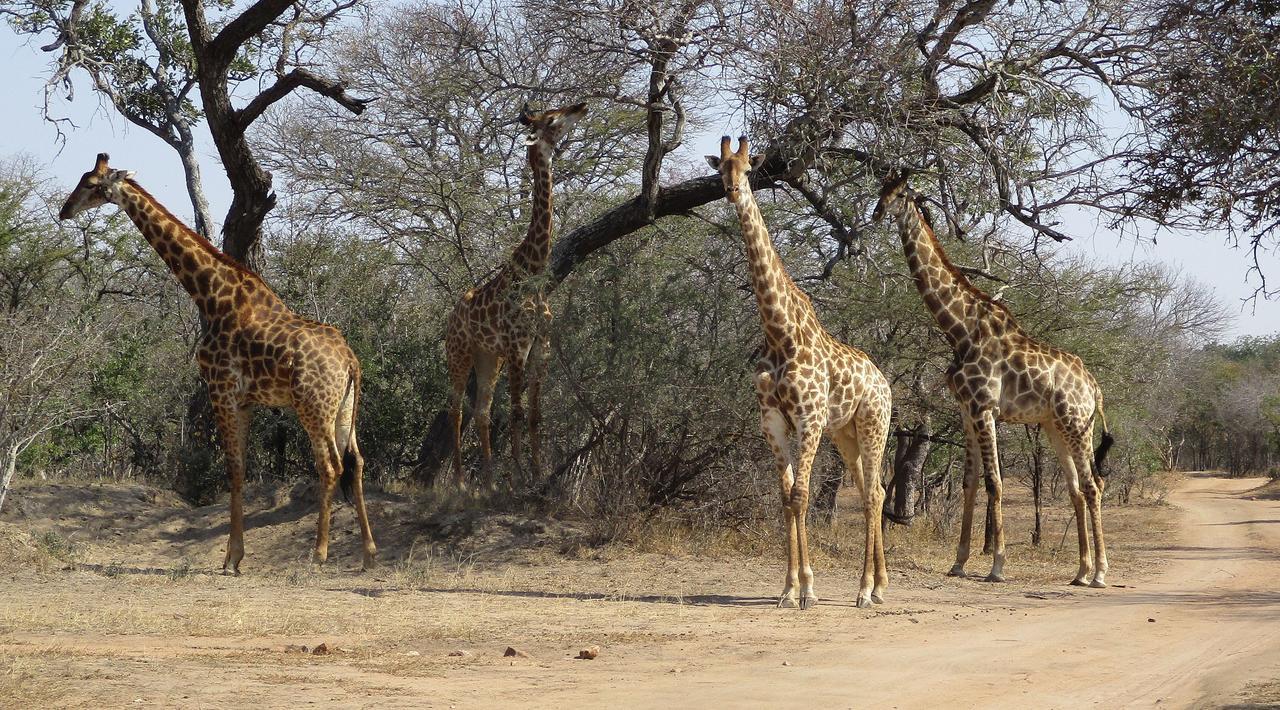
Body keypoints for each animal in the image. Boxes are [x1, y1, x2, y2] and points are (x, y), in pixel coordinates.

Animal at [60, 152, 373, 575]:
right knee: (356, 462)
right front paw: (234, 556)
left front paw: (231, 558)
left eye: (91, 184)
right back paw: (369, 553)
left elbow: (233, 469)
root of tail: (351, 360)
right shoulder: (245, 401)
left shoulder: (221, 390)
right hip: (343, 408)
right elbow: (239, 469)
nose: (65, 210)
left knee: (330, 466)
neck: (210, 296)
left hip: (313, 406)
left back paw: (319, 553)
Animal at [442, 99, 586, 488]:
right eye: (552, 119)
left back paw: (489, 480)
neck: (534, 270)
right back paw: (460, 481)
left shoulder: (540, 346)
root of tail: (450, 318)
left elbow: (534, 415)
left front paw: (537, 475)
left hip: (487, 357)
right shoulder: (517, 347)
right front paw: (520, 477)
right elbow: (518, 413)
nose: (582, 106)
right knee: (456, 410)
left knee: (482, 411)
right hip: (460, 353)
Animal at [706, 138, 896, 611]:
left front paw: (807, 588)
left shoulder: (809, 418)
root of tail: (884, 383)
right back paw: (878, 586)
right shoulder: (772, 420)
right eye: (721, 170)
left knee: (873, 494)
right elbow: (785, 496)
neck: (779, 332)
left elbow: (800, 495)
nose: (733, 191)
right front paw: (788, 588)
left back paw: (865, 590)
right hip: (845, 433)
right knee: (873, 491)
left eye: (748, 170)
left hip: (873, 426)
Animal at [875, 173, 1116, 588]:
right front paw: (958, 562)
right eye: (881, 190)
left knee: (1092, 485)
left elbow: (995, 482)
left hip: (1076, 424)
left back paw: (1100, 572)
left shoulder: (985, 407)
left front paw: (997, 566)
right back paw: (1081, 571)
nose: (876, 213)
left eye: (901, 193)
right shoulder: (966, 409)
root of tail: (1093, 387)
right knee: (1075, 489)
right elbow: (970, 482)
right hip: (1055, 426)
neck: (959, 330)